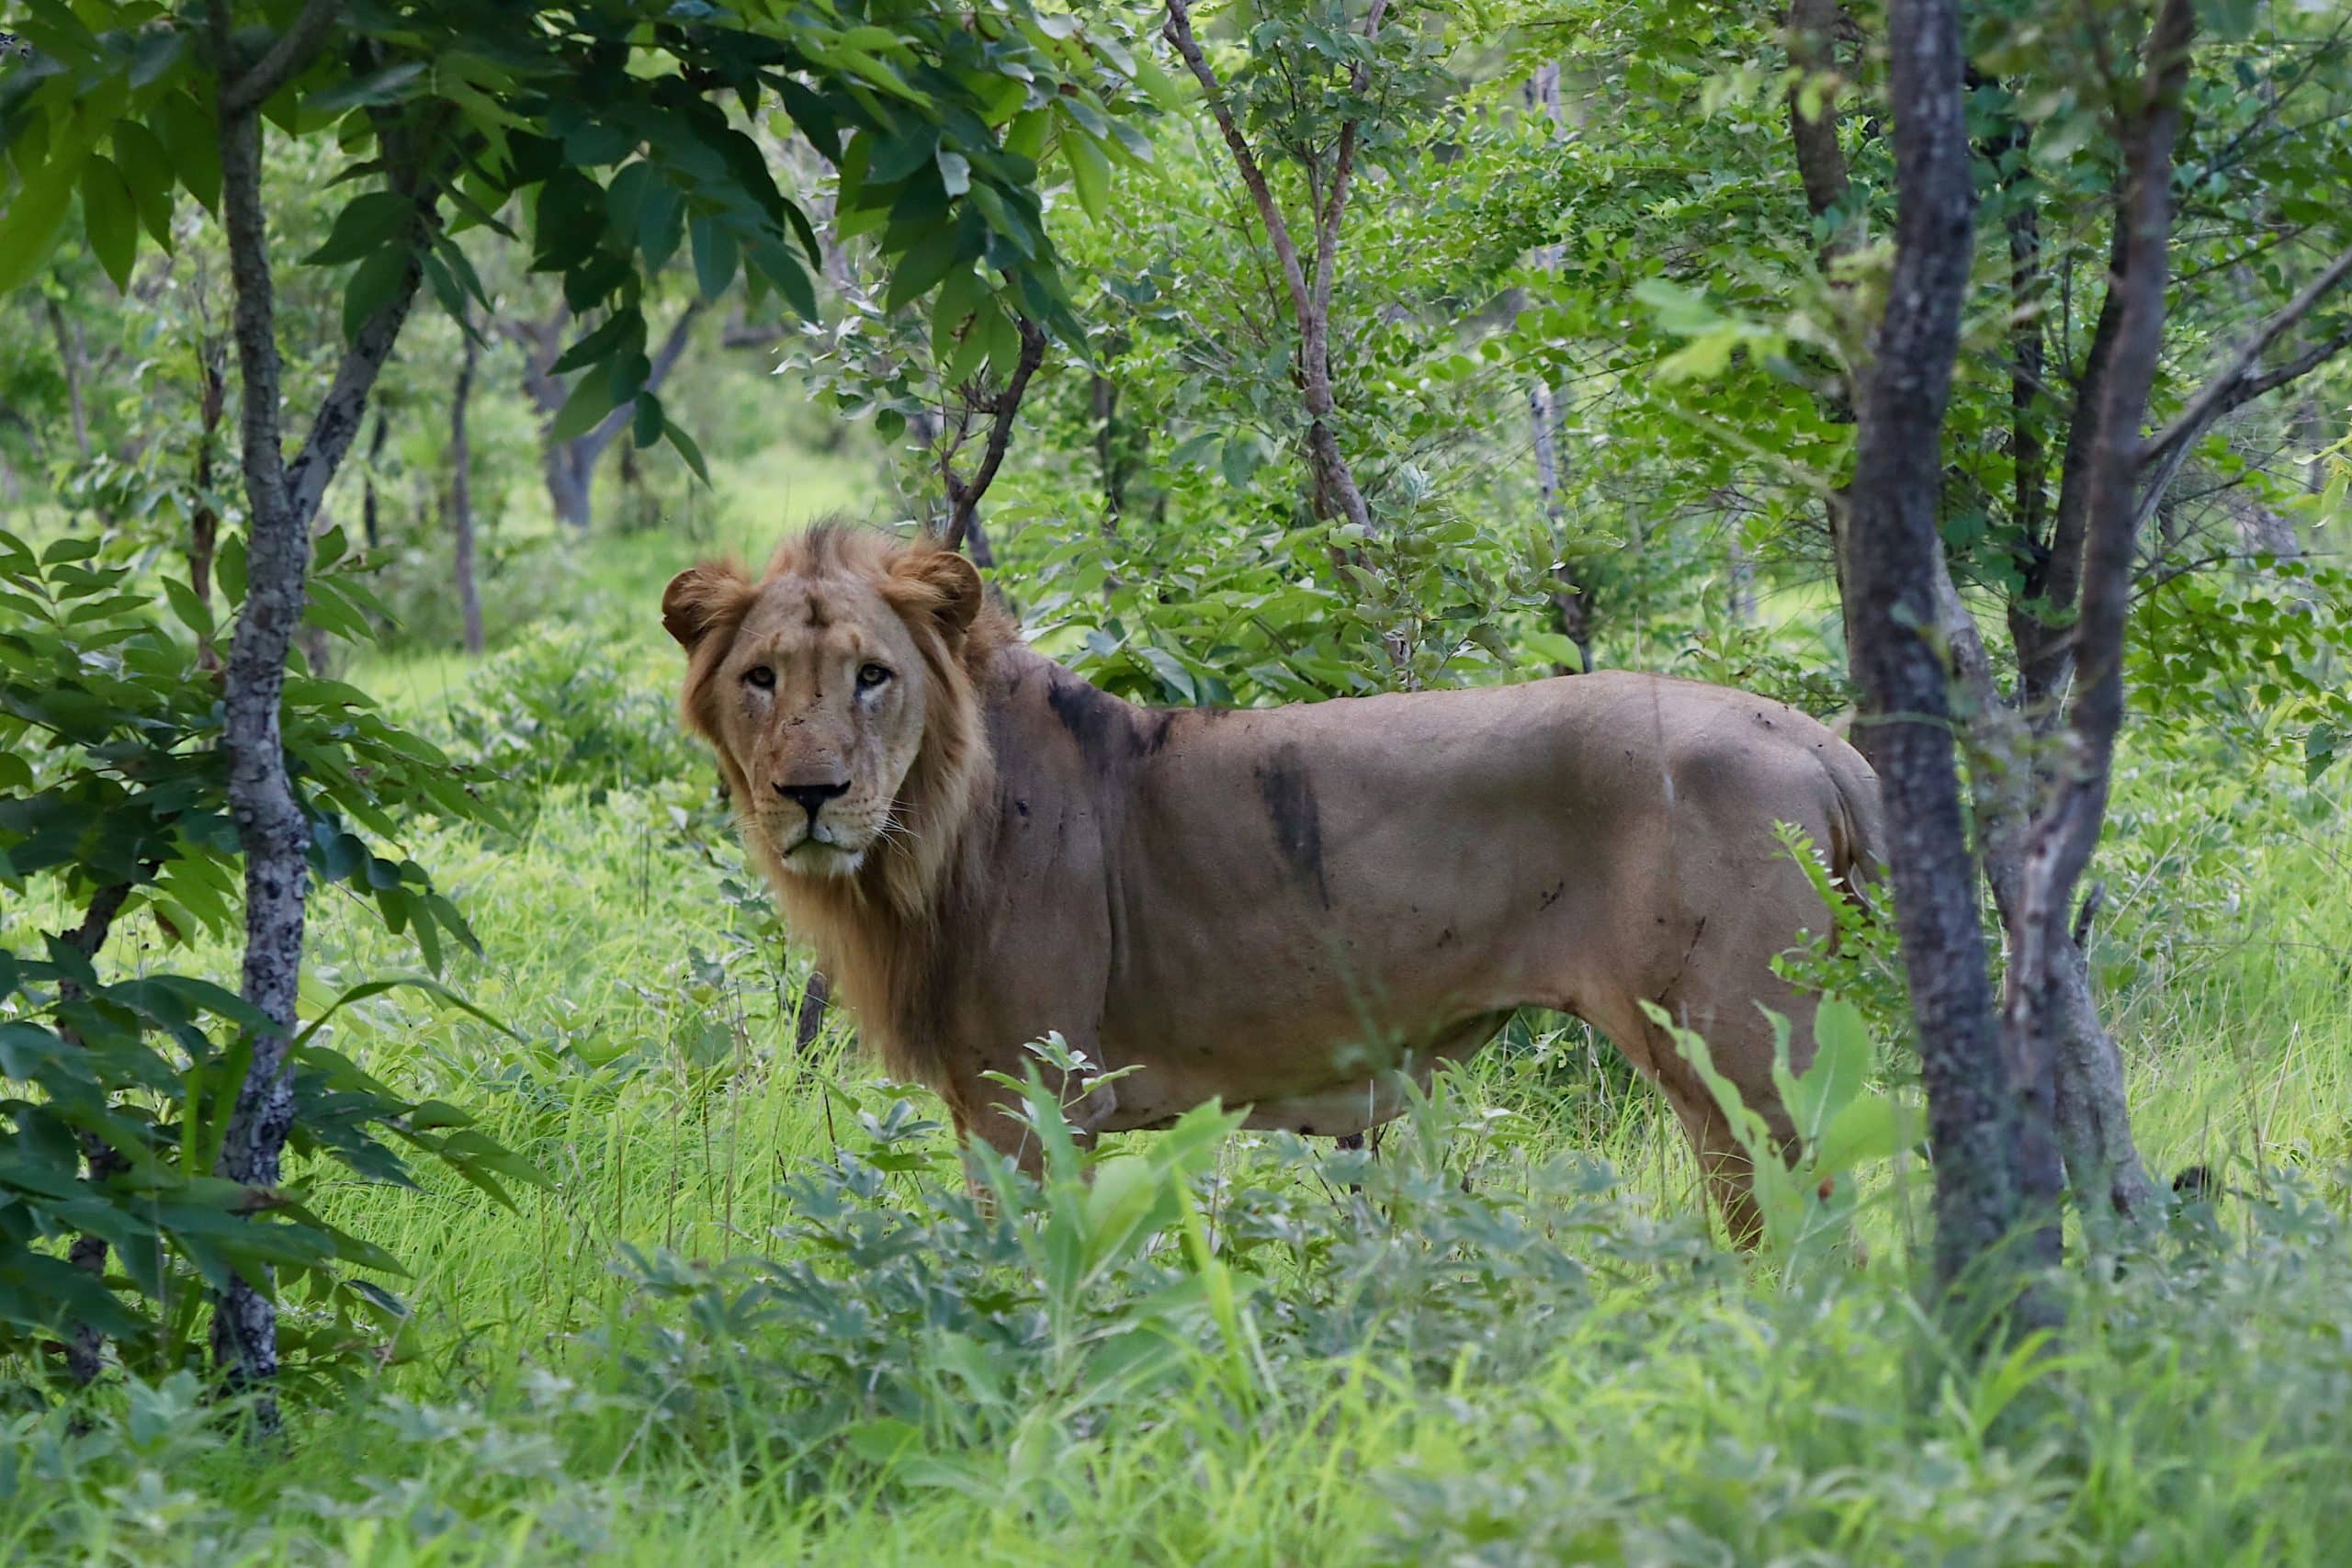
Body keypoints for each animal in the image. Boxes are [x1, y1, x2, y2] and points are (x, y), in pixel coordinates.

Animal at [664, 525, 1883, 1242]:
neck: (918, 848)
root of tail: (1819, 741)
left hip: (1743, 1056)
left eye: (873, 676)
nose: (810, 794)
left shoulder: (1036, 1095)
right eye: (761, 679)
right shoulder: (984, 1103)